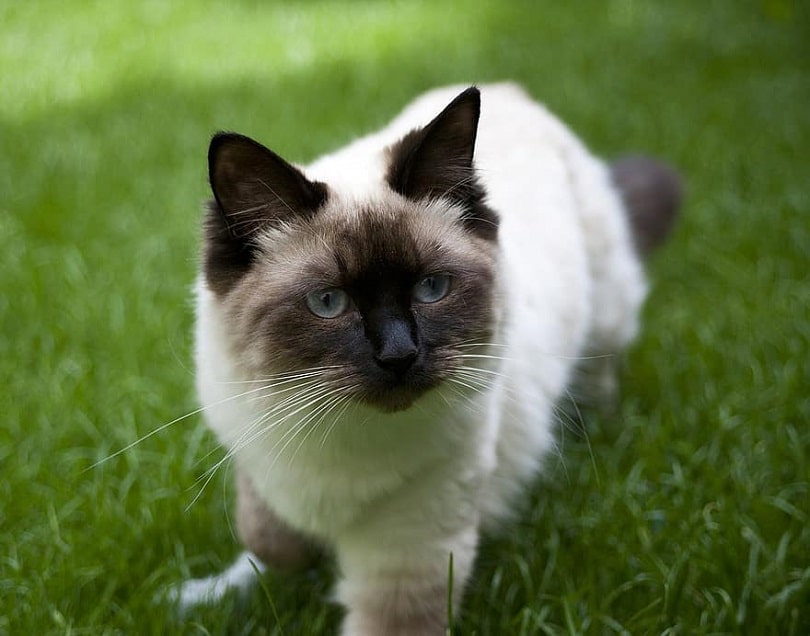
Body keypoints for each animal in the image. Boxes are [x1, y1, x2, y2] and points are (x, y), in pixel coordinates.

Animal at [174, 82, 680, 632]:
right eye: (329, 302)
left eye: (431, 289)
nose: (399, 354)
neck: (337, 437)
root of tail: (509, 89)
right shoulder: (253, 444)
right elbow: (268, 533)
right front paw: (283, 557)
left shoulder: (408, 557)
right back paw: (201, 596)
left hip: (604, 321)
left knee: (599, 381)